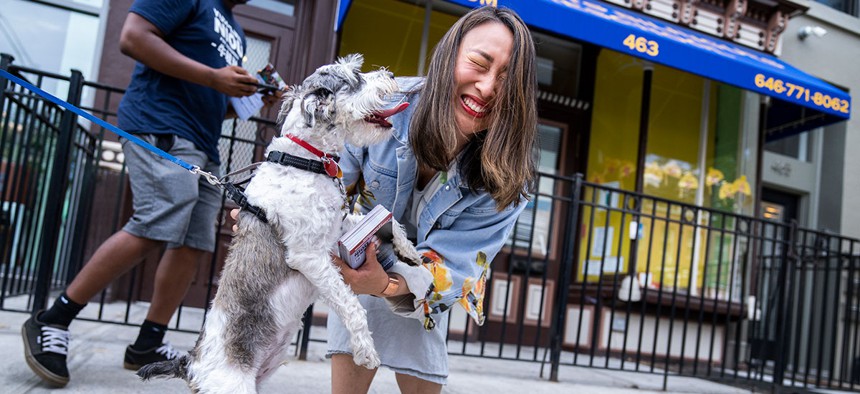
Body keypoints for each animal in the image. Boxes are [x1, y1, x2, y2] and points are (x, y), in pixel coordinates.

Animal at [137, 54, 420, 394]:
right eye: (355, 78)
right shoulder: (309, 256)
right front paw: (365, 350)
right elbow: (349, 303)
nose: (390, 75)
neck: (306, 160)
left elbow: (376, 219)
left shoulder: (337, 226)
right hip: (233, 386)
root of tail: (191, 363)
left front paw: (408, 249)